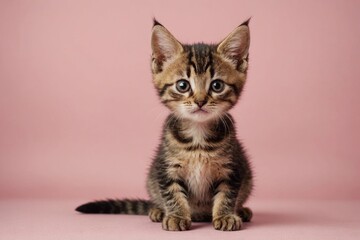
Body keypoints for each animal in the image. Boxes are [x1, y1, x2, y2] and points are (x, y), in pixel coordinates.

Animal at [77, 19, 255, 232]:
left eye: (217, 86)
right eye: (183, 85)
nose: (200, 101)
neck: (198, 135)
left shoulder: (232, 168)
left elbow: (227, 193)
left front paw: (226, 215)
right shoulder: (166, 167)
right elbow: (172, 192)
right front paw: (176, 216)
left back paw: (242, 210)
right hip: (151, 178)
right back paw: (157, 211)